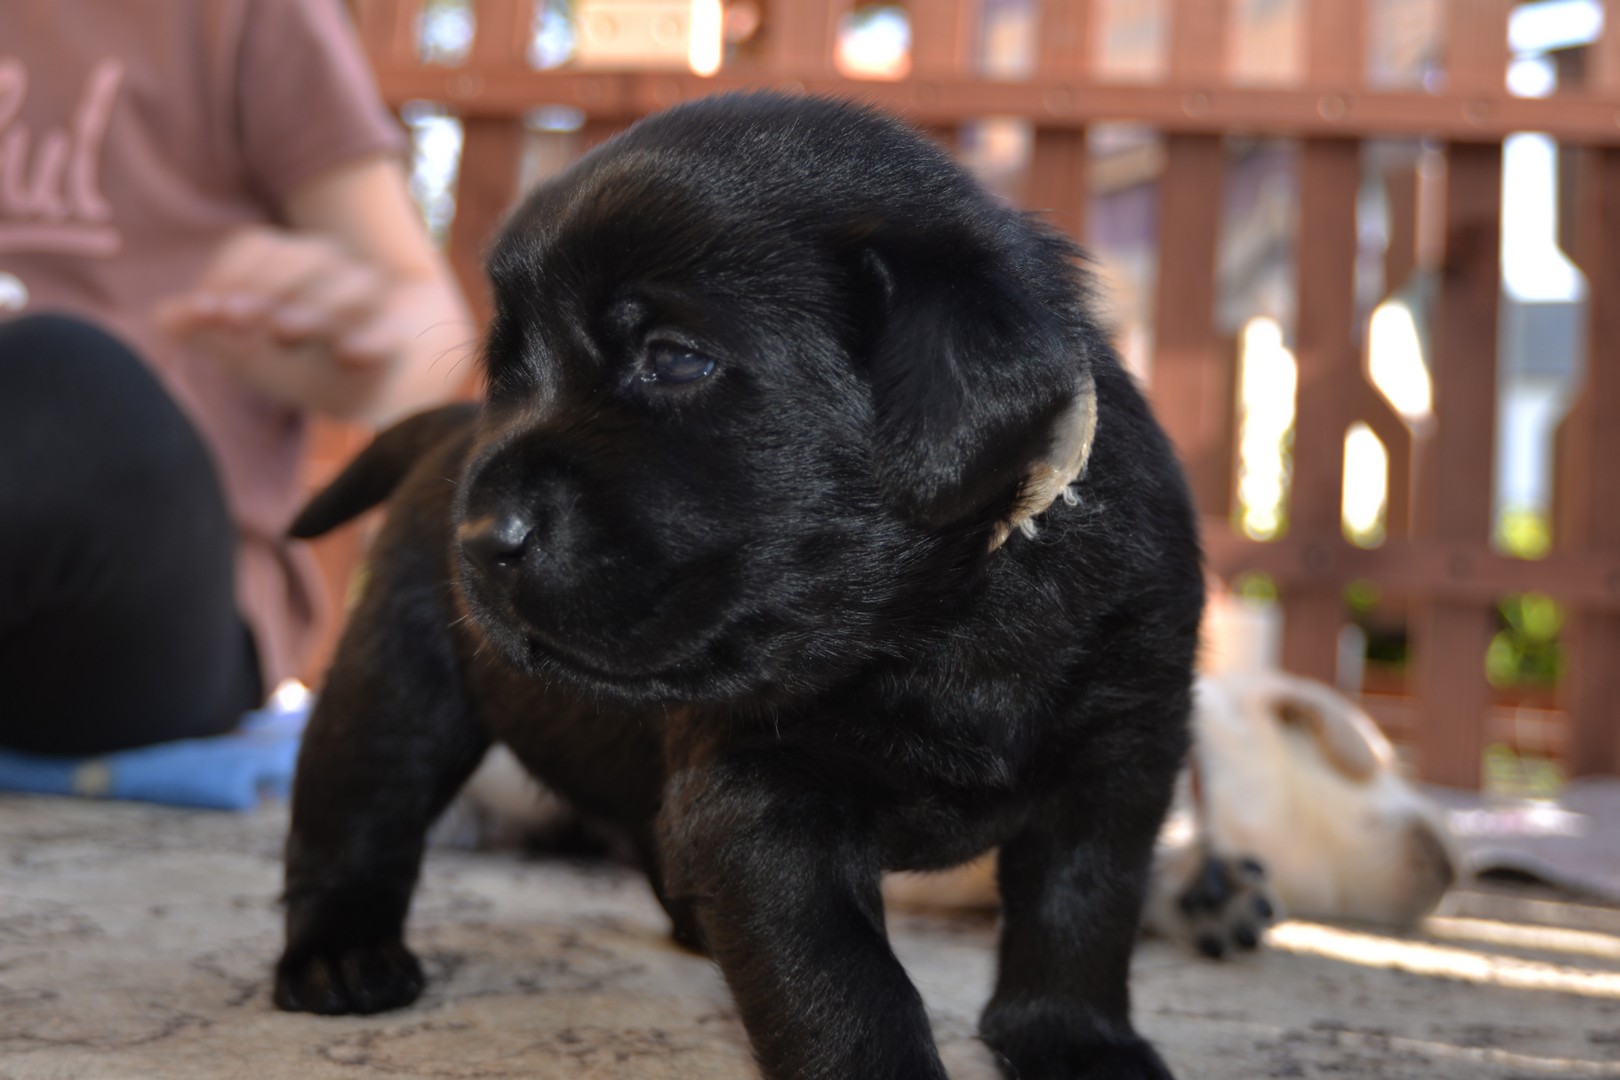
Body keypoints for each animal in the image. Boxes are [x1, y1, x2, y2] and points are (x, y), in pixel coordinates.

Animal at [273, 93, 1204, 1080]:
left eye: (677, 361)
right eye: (508, 374)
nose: (485, 537)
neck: (948, 619)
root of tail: (449, 435)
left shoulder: (1120, 756)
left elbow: (1079, 912)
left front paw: (1077, 1043)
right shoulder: (764, 802)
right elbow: (842, 983)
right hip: (396, 684)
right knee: (356, 813)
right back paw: (339, 955)